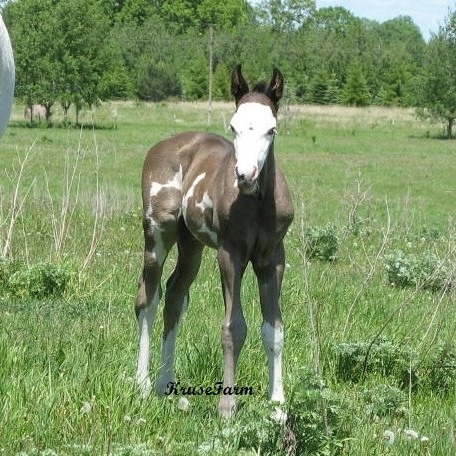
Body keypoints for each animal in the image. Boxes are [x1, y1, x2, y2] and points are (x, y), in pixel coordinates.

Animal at [134, 66, 294, 418]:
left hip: (190, 244)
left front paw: (278, 406)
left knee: (175, 296)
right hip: (158, 233)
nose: (245, 176)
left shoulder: (272, 257)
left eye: (272, 130)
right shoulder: (230, 254)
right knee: (148, 299)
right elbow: (234, 328)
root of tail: (167, 143)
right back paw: (142, 384)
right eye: (233, 126)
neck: (257, 204)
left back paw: (165, 384)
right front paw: (227, 407)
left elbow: (273, 329)